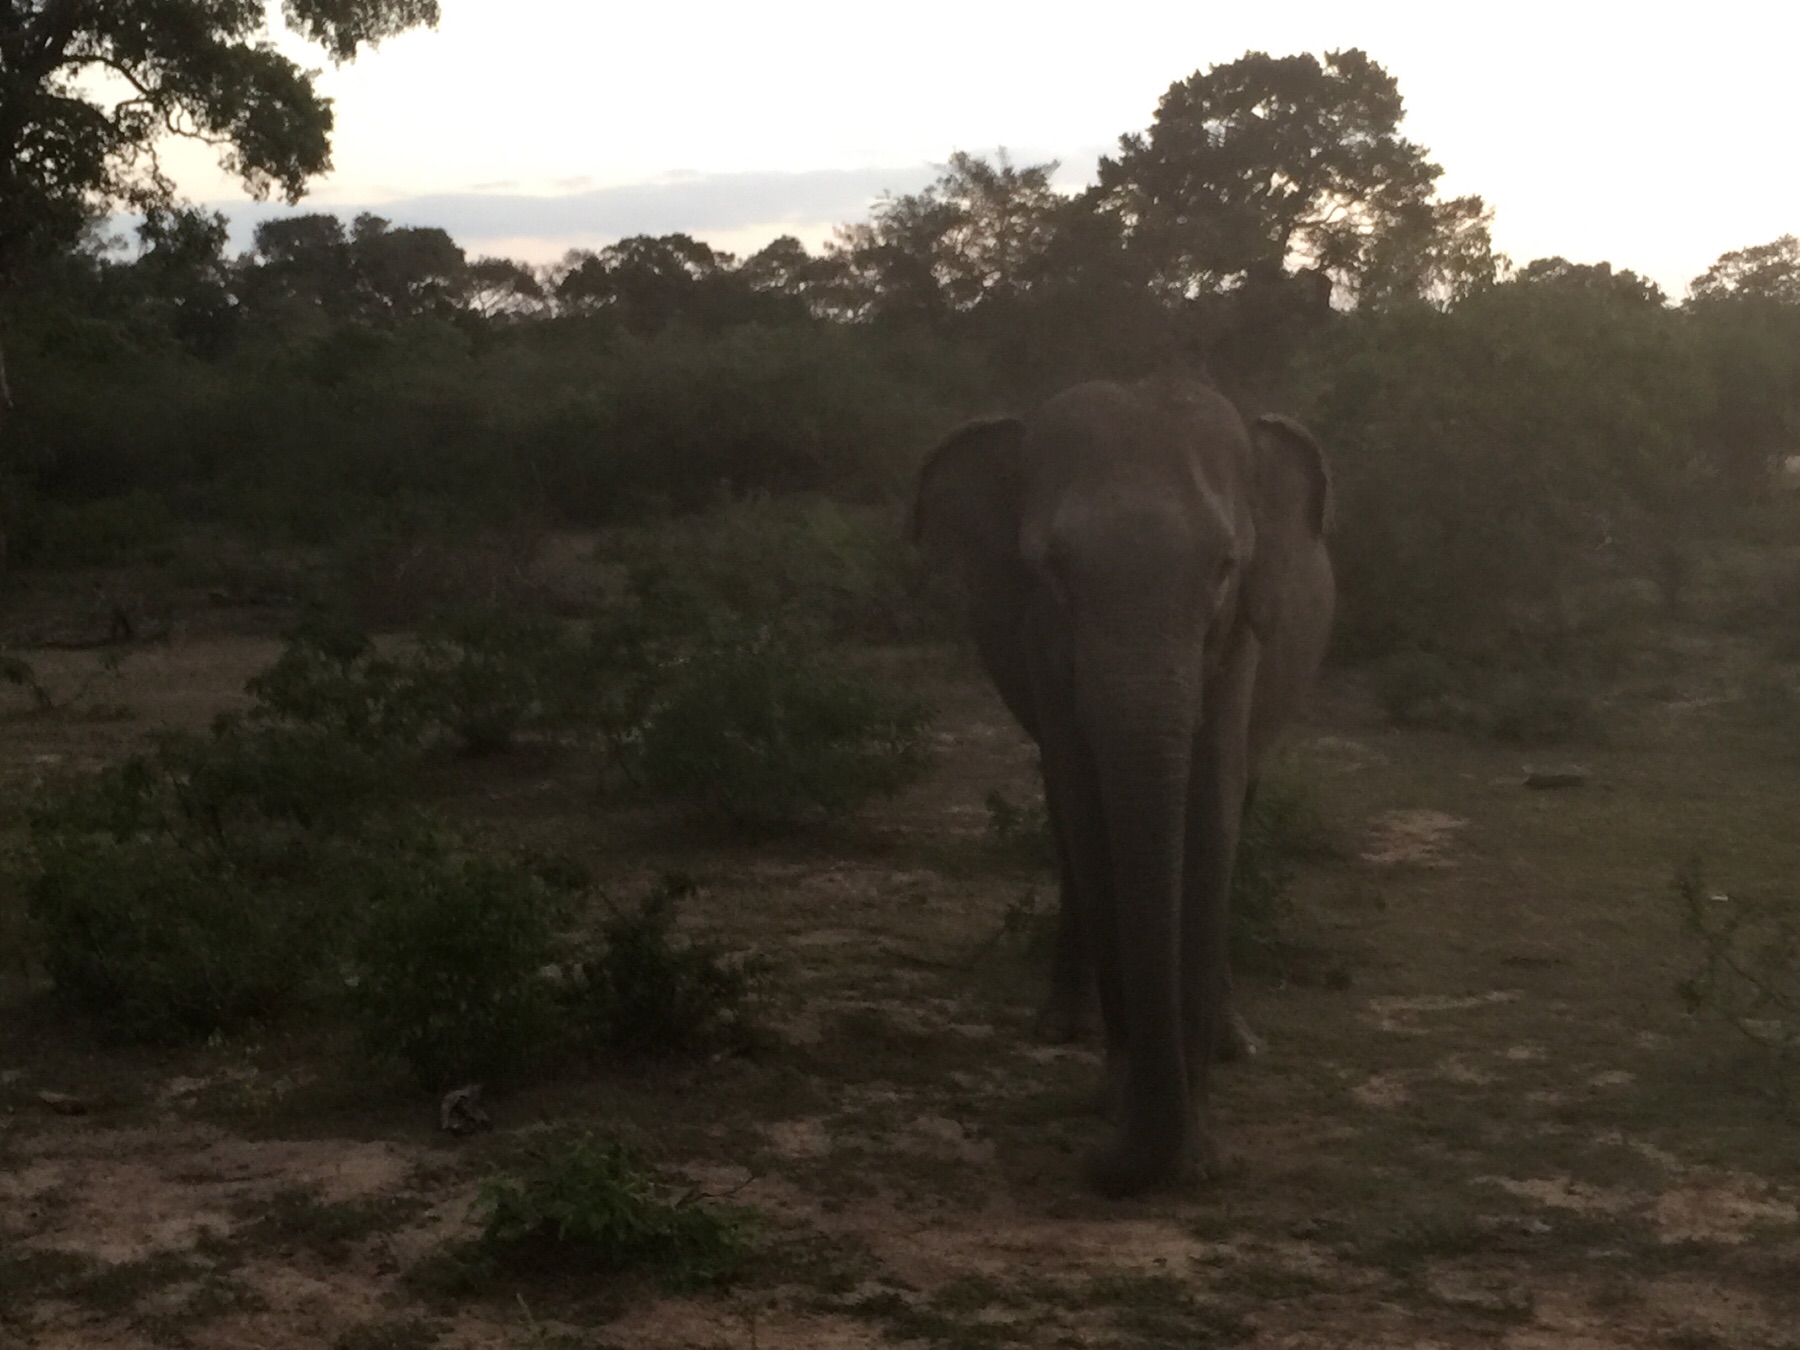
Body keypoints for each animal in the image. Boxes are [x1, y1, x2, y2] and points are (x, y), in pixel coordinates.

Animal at [914, 376, 1339, 1202]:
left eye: (1224, 566)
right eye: (1051, 568)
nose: (1105, 1165)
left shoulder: (1240, 636)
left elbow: (1212, 816)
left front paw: (1195, 1145)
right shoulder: (1038, 639)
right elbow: (1085, 805)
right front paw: (1119, 1105)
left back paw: (1238, 1042)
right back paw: (1058, 1026)